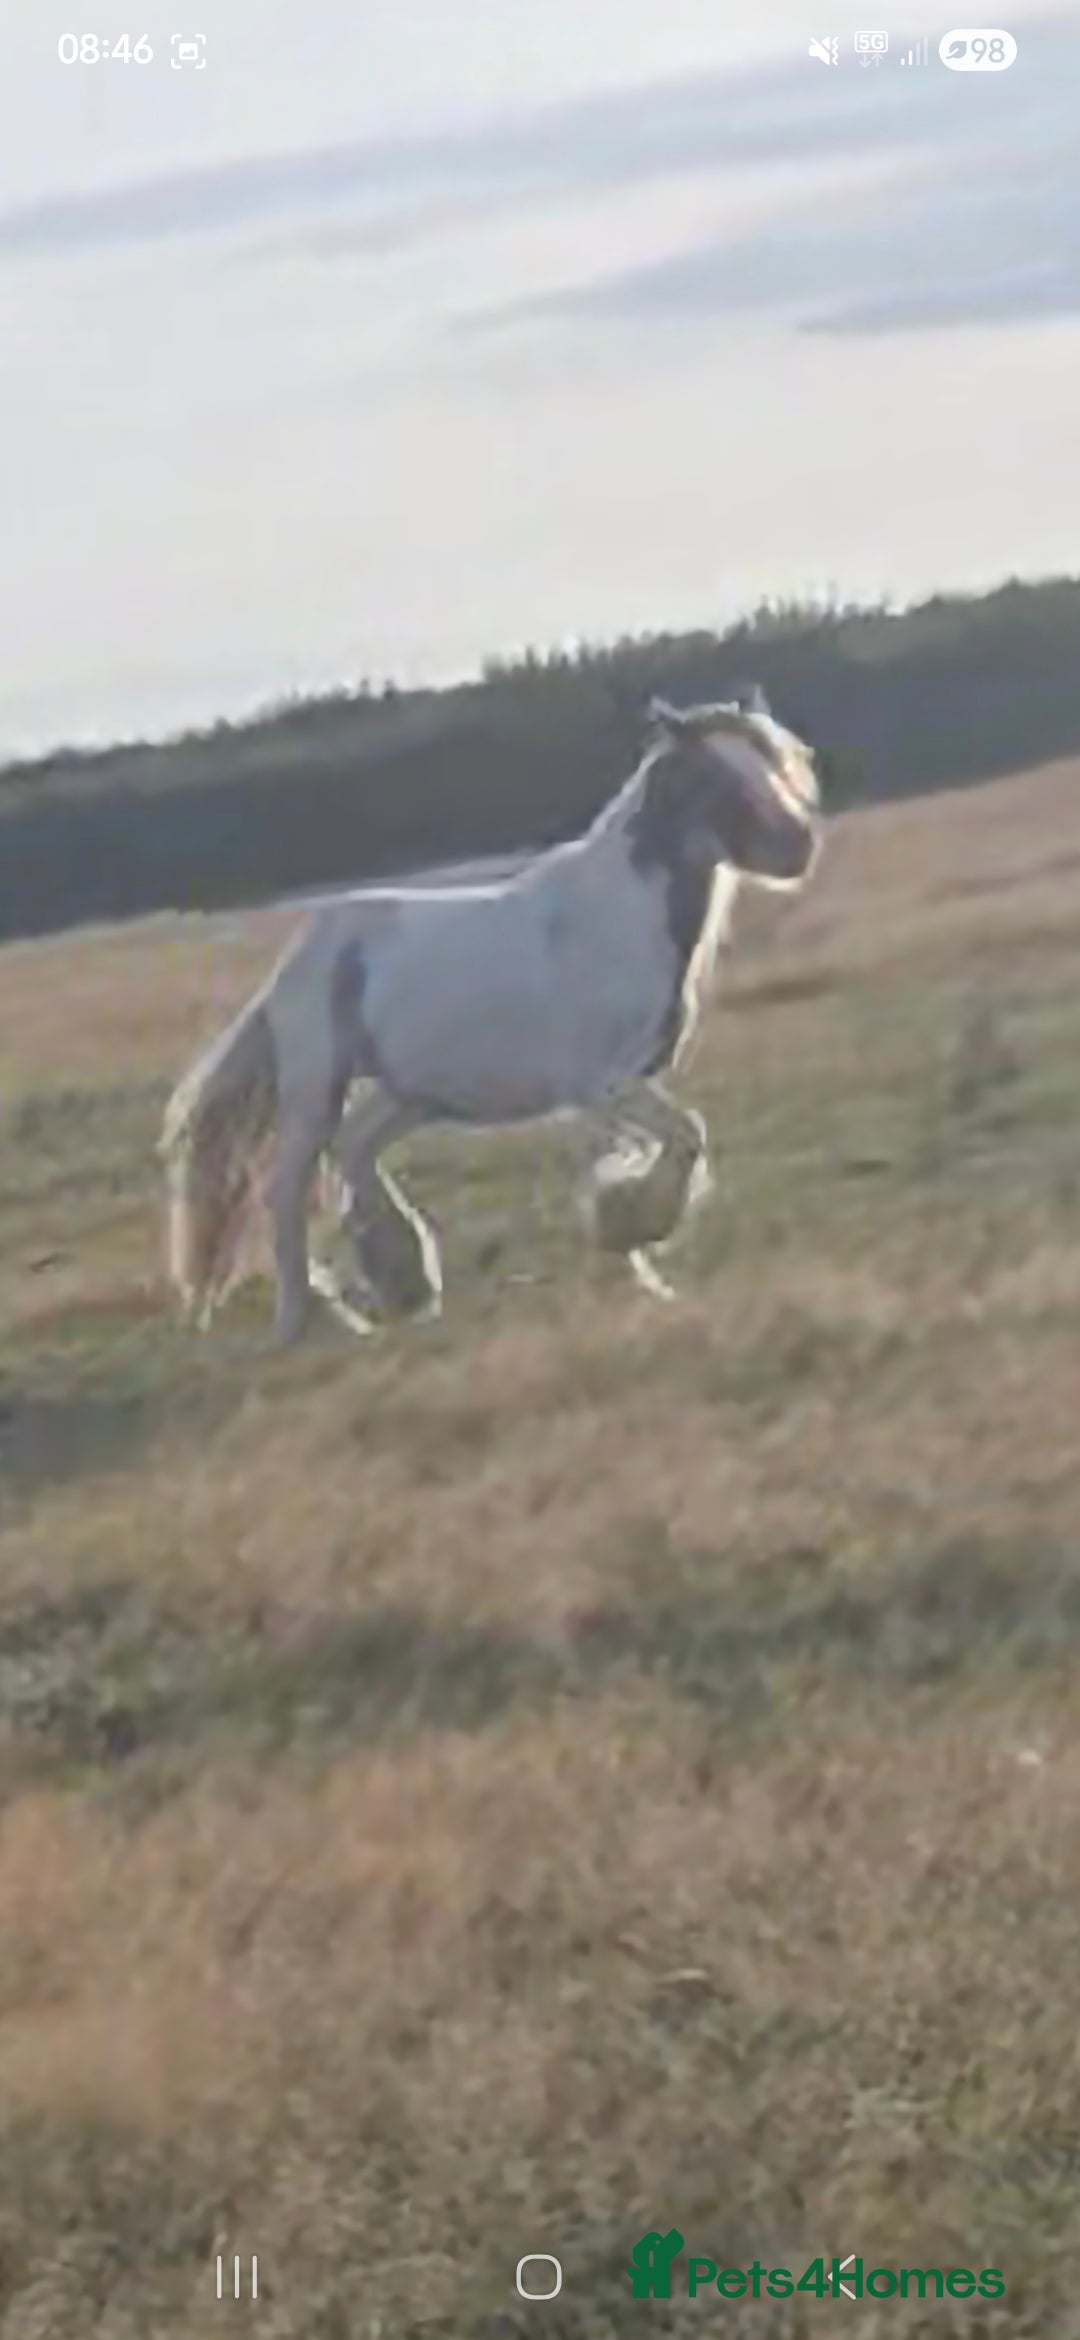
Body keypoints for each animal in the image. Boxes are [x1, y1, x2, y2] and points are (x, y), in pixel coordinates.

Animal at [159, 689, 822, 1342]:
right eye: (709, 774)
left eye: (773, 761)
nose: (799, 846)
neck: (617, 919)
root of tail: (294, 964)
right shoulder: (598, 1087)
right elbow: (680, 1139)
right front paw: (631, 1239)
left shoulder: (612, 1091)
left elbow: (656, 1150)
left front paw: (645, 1273)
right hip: (316, 1090)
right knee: (287, 1192)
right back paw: (311, 1321)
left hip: (411, 1095)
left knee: (354, 1150)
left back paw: (403, 1284)